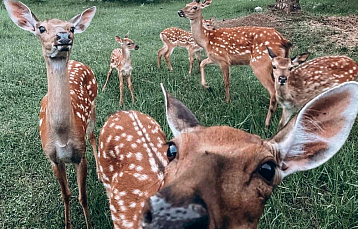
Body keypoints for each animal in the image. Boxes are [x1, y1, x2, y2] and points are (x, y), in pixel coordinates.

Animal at [4, 0, 99, 228]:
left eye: (72, 28)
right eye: (41, 28)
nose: (64, 36)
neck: (62, 135)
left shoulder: (80, 154)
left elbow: (83, 197)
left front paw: (89, 224)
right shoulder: (53, 159)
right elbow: (66, 194)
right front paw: (67, 224)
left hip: (93, 105)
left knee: (93, 135)